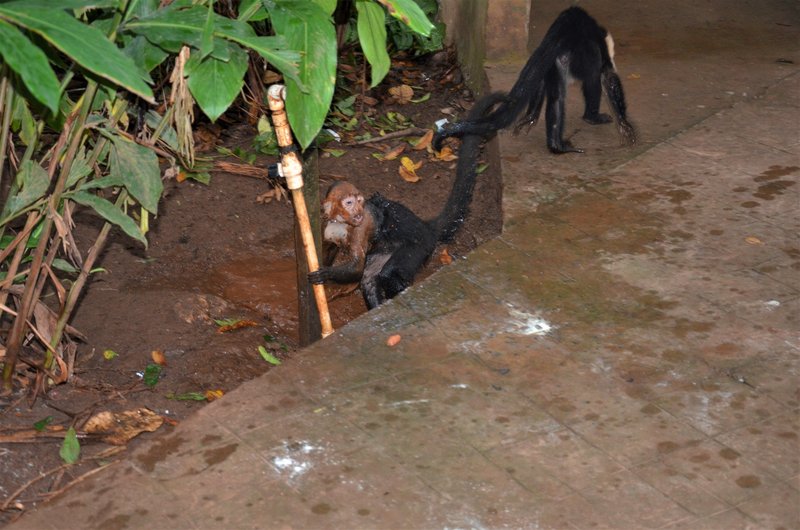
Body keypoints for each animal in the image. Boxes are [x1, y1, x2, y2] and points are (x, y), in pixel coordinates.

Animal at [310, 92, 504, 306]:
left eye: (359, 202)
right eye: (349, 203)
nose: (358, 212)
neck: (342, 222)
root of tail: (425, 225)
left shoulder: (362, 224)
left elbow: (357, 267)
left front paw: (326, 274)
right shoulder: (327, 223)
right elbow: (331, 250)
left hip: (421, 244)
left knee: (389, 273)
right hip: (386, 249)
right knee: (370, 277)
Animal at [434, 7, 636, 154]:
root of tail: (561, 34)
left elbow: (540, 82)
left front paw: (530, 118)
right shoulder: (598, 48)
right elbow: (608, 77)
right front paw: (624, 125)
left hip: (556, 58)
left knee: (554, 96)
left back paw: (554, 145)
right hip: (580, 55)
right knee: (591, 78)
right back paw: (589, 119)